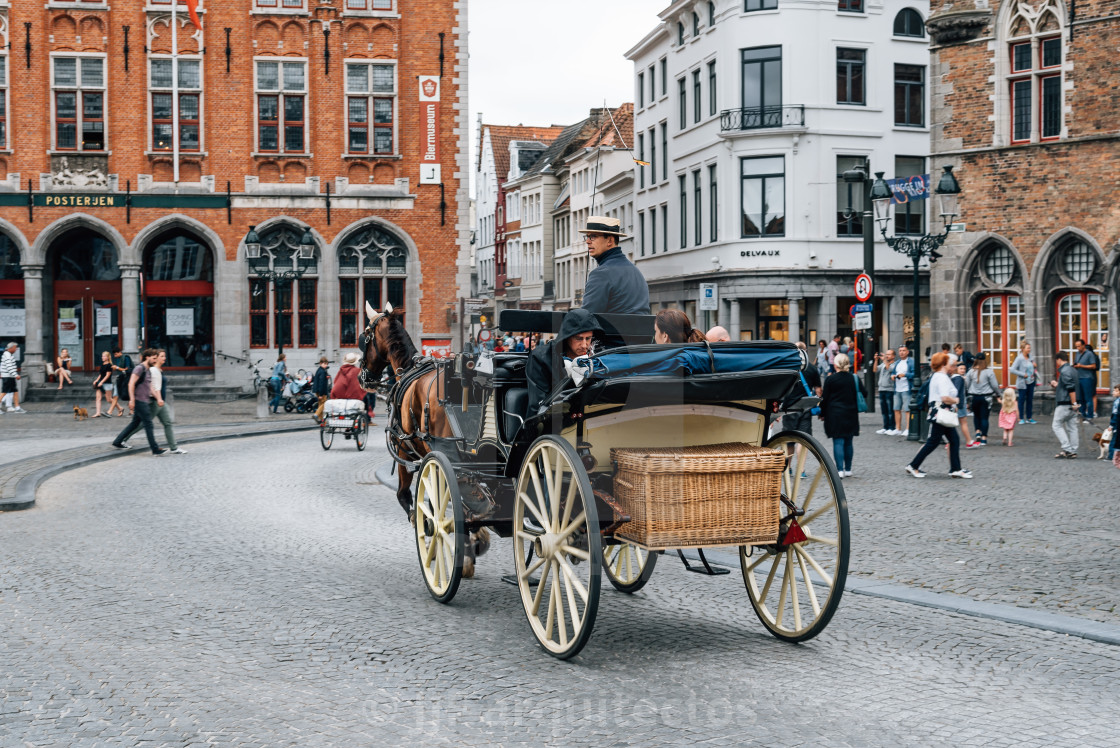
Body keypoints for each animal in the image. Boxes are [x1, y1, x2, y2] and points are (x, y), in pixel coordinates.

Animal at [358, 304, 490, 577]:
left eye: (365, 336)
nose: (362, 375)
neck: (406, 368)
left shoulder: (407, 454)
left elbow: (407, 496)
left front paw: (426, 527)